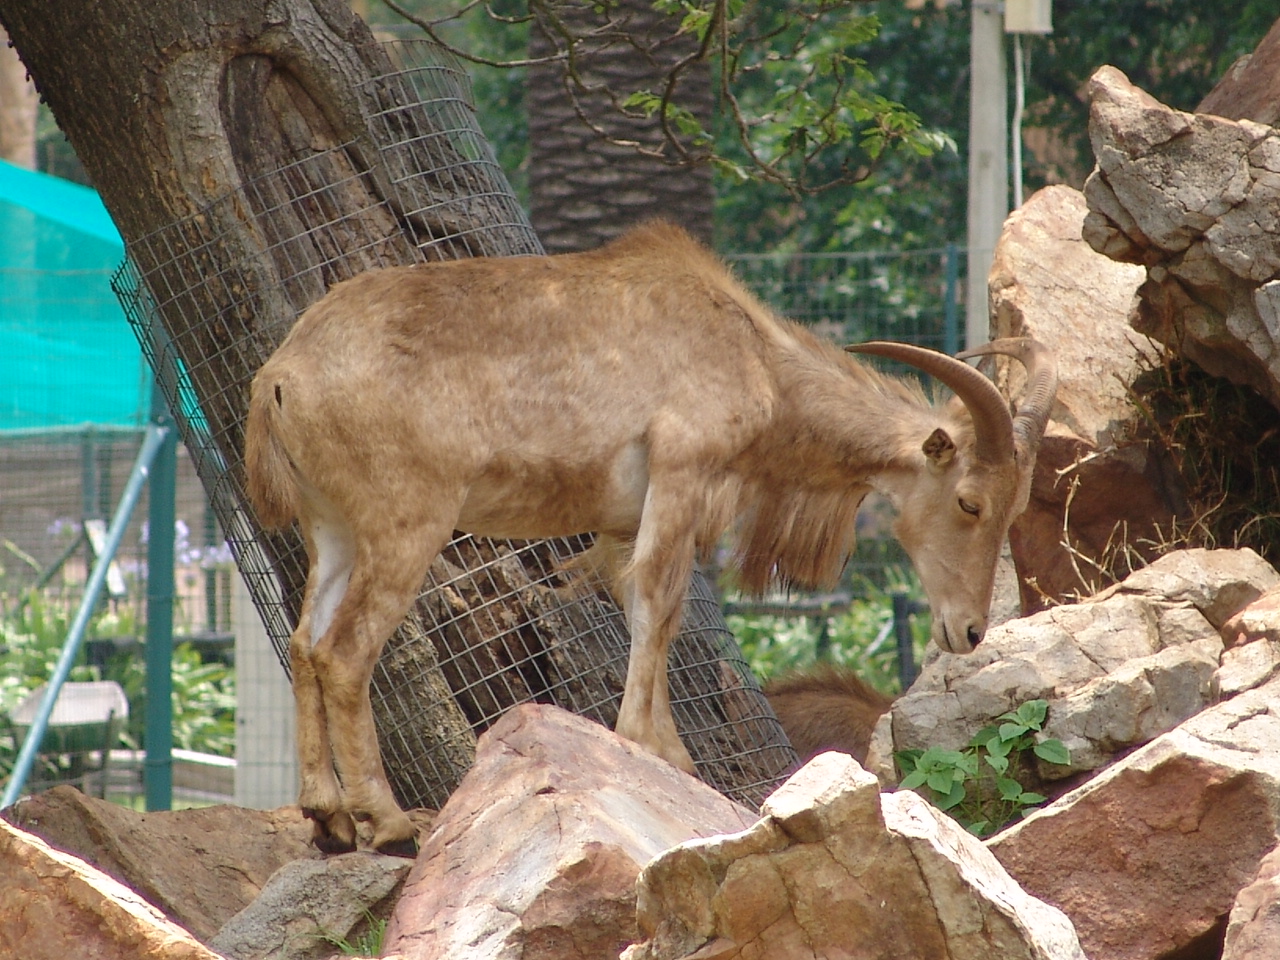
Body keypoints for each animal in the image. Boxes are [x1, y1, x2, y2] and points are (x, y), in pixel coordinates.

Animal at [244, 220, 1056, 855]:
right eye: (970, 503)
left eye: (1015, 508)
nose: (968, 630)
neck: (751, 354)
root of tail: (281, 374)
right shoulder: (681, 474)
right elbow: (659, 605)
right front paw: (650, 746)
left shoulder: (630, 517)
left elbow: (651, 610)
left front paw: (674, 761)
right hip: (405, 524)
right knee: (345, 652)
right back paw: (384, 823)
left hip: (331, 530)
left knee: (305, 643)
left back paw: (327, 819)